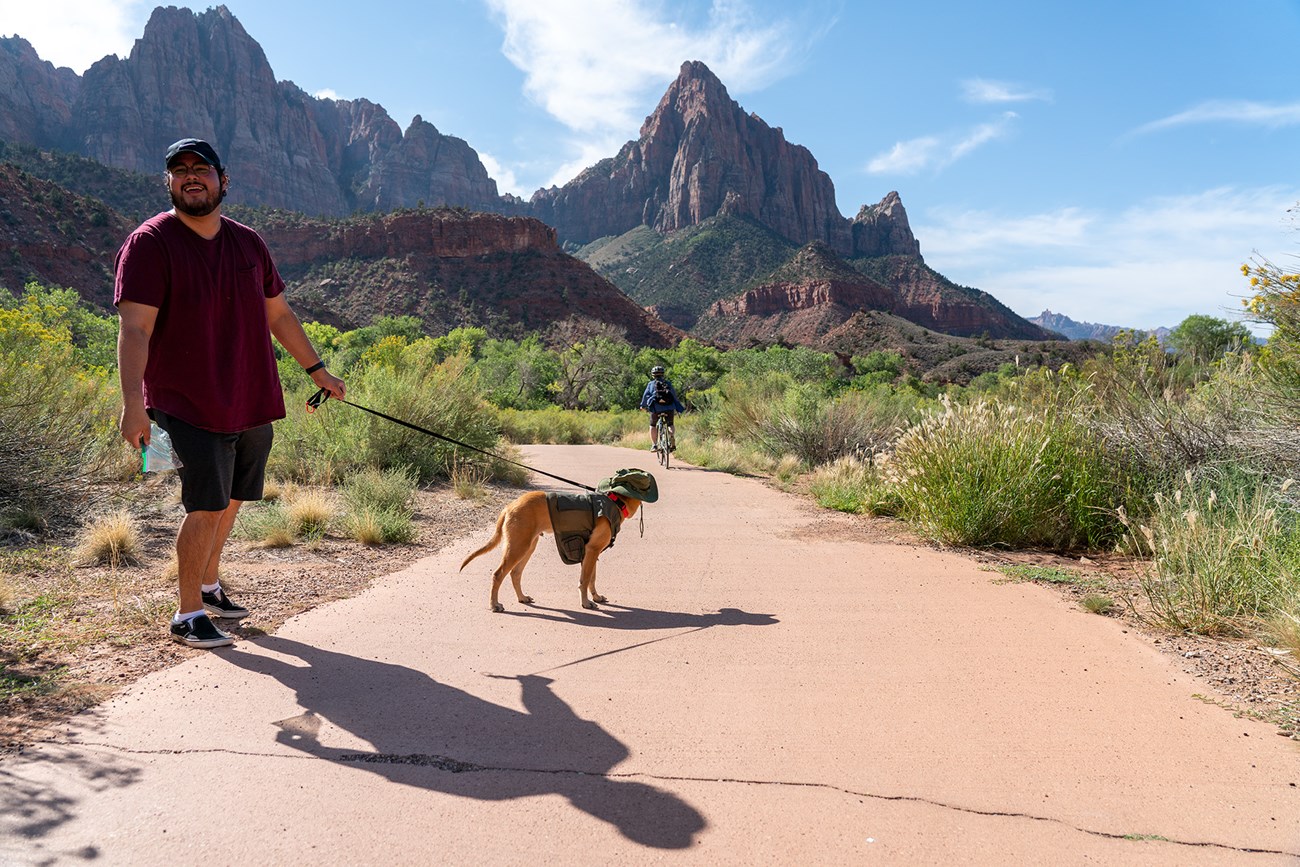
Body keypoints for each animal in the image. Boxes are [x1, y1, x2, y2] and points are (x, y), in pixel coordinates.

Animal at [460, 491, 642, 613]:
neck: (616, 502)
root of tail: (508, 507)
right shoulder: (592, 550)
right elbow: (584, 581)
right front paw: (586, 603)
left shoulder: (592, 553)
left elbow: (591, 579)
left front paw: (595, 597)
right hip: (518, 547)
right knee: (498, 574)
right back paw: (494, 605)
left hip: (528, 546)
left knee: (515, 573)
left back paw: (522, 598)